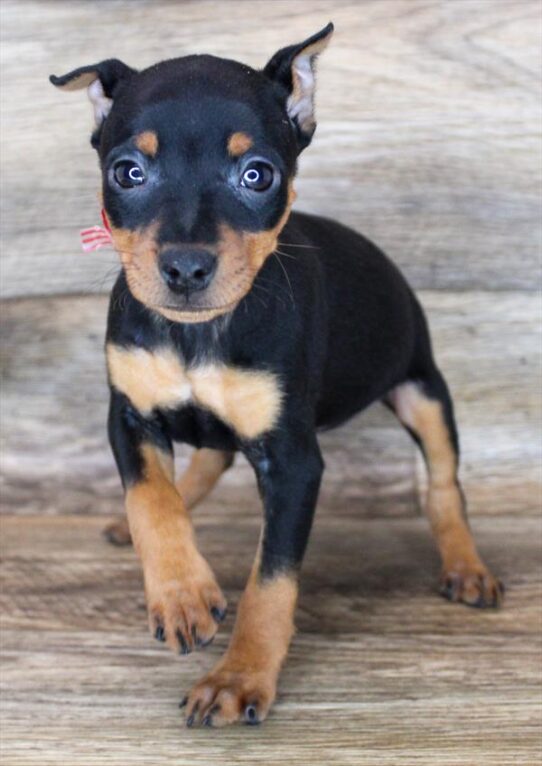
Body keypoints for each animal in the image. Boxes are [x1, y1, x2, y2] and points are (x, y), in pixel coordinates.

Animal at [51, 24, 506, 728]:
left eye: (256, 174)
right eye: (128, 172)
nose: (186, 267)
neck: (200, 334)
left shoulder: (293, 462)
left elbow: (272, 580)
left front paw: (237, 679)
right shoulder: (129, 413)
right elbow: (151, 498)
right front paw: (181, 593)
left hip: (423, 388)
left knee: (443, 482)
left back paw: (465, 565)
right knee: (208, 459)